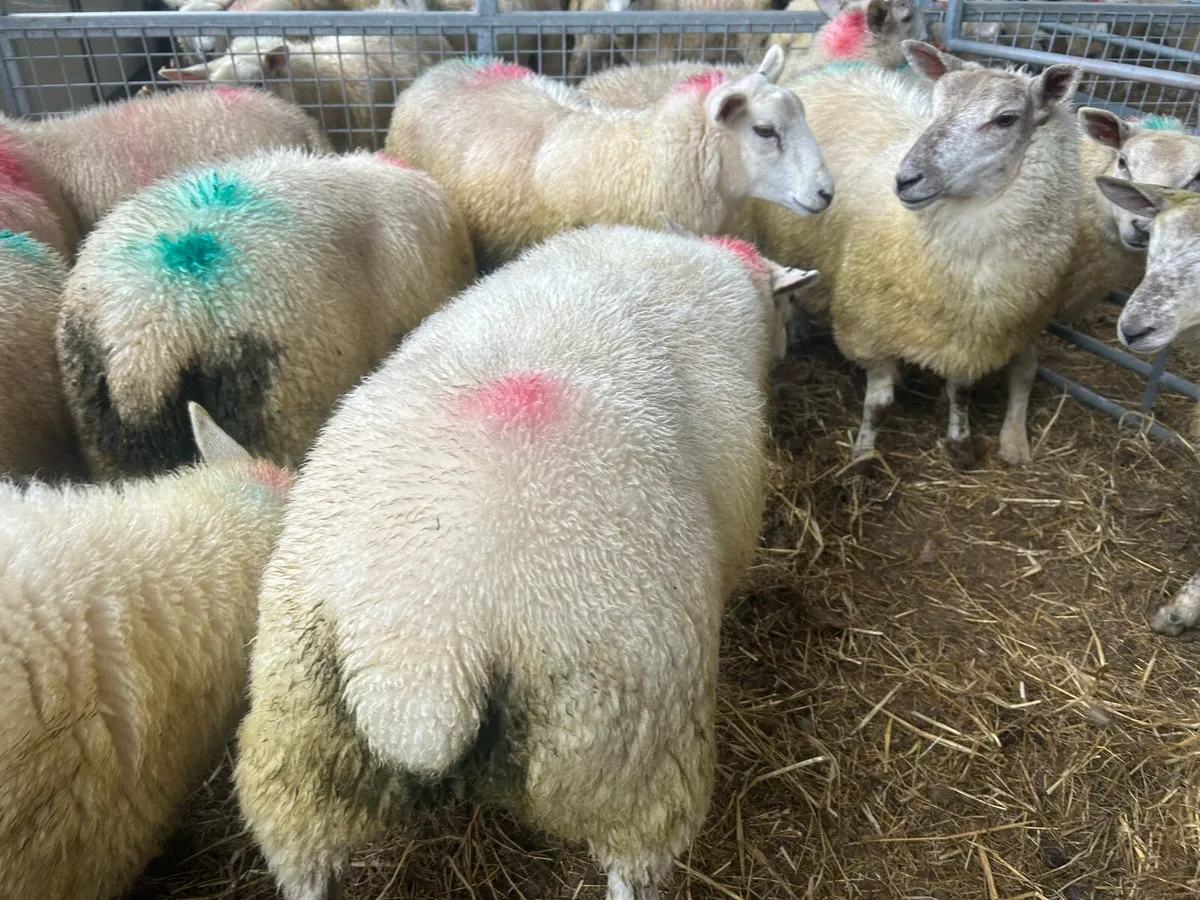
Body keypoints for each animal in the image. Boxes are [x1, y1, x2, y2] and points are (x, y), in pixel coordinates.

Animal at [744, 42, 1082, 468]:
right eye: (935, 107)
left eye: (1005, 119)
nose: (906, 179)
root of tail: (830, 70)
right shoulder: (867, 330)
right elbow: (880, 404)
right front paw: (863, 456)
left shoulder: (971, 337)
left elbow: (960, 391)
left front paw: (959, 441)